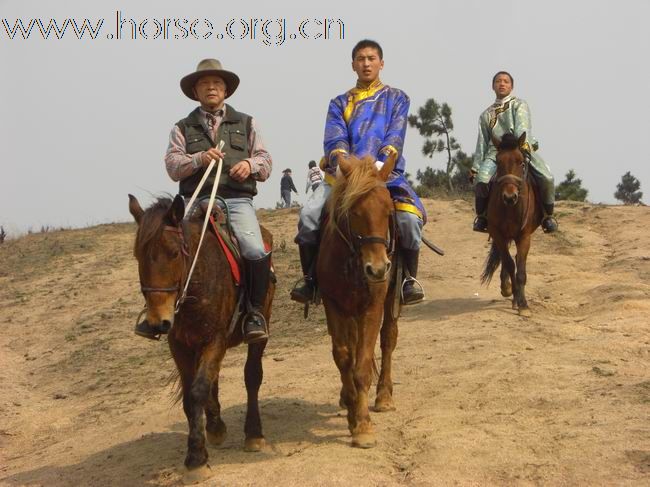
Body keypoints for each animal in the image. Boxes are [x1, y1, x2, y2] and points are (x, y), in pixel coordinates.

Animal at [128, 194, 272, 472]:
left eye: (174, 253)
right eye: (138, 255)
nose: (157, 322)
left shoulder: (215, 339)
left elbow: (197, 391)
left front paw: (195, 457)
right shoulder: (180, 345)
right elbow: (191, 394)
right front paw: (210, 433)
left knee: (252, 375)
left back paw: (254, 434)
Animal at [316, 155, 400, 450]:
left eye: (388, 211)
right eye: (354, 212)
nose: (378, 269)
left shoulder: (372, 307)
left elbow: (362, 365)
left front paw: (363, 426)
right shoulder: (333, 304)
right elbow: (344, 357)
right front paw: (353, 413)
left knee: (388, 339)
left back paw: (384, 396)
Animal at [480, 132, 540, 316]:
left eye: (521, 161)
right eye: (498, 162)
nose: (509, 196)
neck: (510, 208)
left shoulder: (524, 236)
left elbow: (520, 270)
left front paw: (523, 305)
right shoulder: (498, 234)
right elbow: (509, 263)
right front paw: (511, 293)